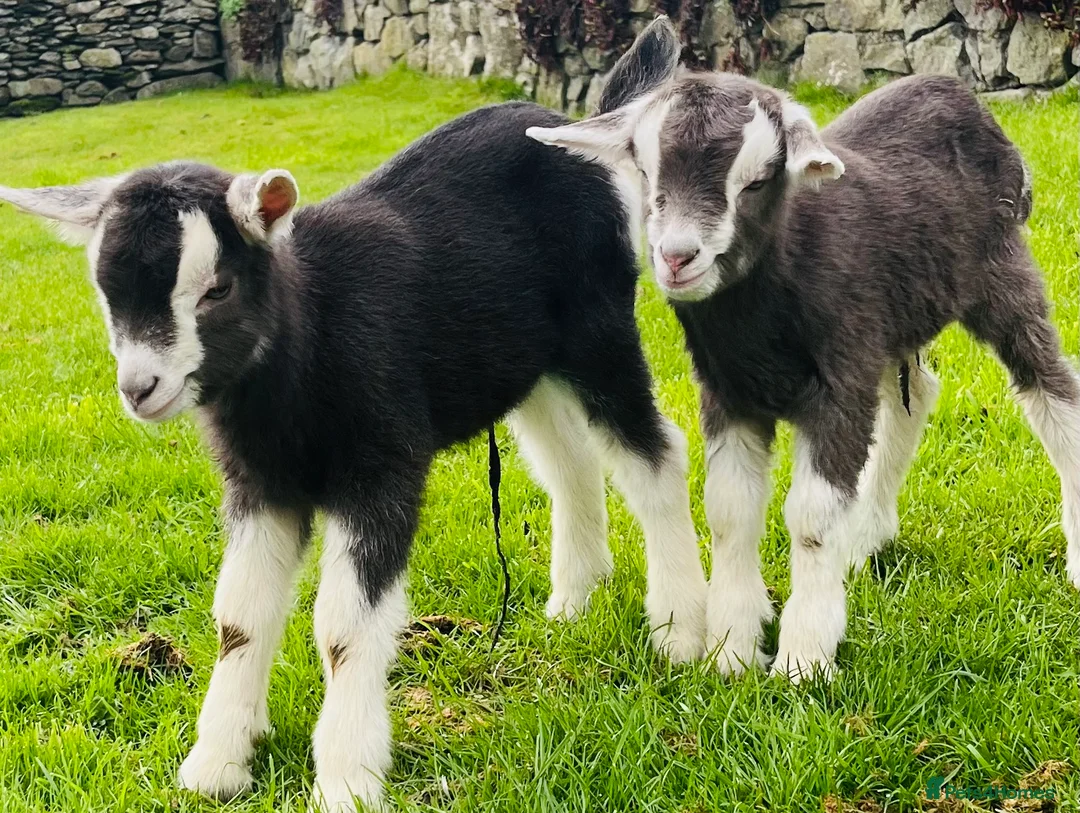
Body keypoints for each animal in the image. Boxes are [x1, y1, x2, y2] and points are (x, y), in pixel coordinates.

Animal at [0, 21, 707, 809]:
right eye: (105, 292)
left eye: (216, 288)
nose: (140, 387)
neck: (308, 337)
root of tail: (584, 128)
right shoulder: (261, 485)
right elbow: (239, 617)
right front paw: (216, 765)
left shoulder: (380, 468)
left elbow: (342, 629)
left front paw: (346, 777)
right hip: (527, 364)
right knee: (570, 462)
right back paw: (575, 600)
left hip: (599, 328)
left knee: (655, 454)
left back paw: (680, 632)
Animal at [528, 23, 1080, 683]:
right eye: (642, 167)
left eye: (756, 180)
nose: (678, 256)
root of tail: (956, 91)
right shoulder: (731, 391)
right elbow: (730, 510)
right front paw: (732, 651)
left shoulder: (837, 385)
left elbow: (812, 519)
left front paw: (803, 659)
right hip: (892, 321)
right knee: (914, 396)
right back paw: (866, 539)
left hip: (1001, 273)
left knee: (1052, 391)